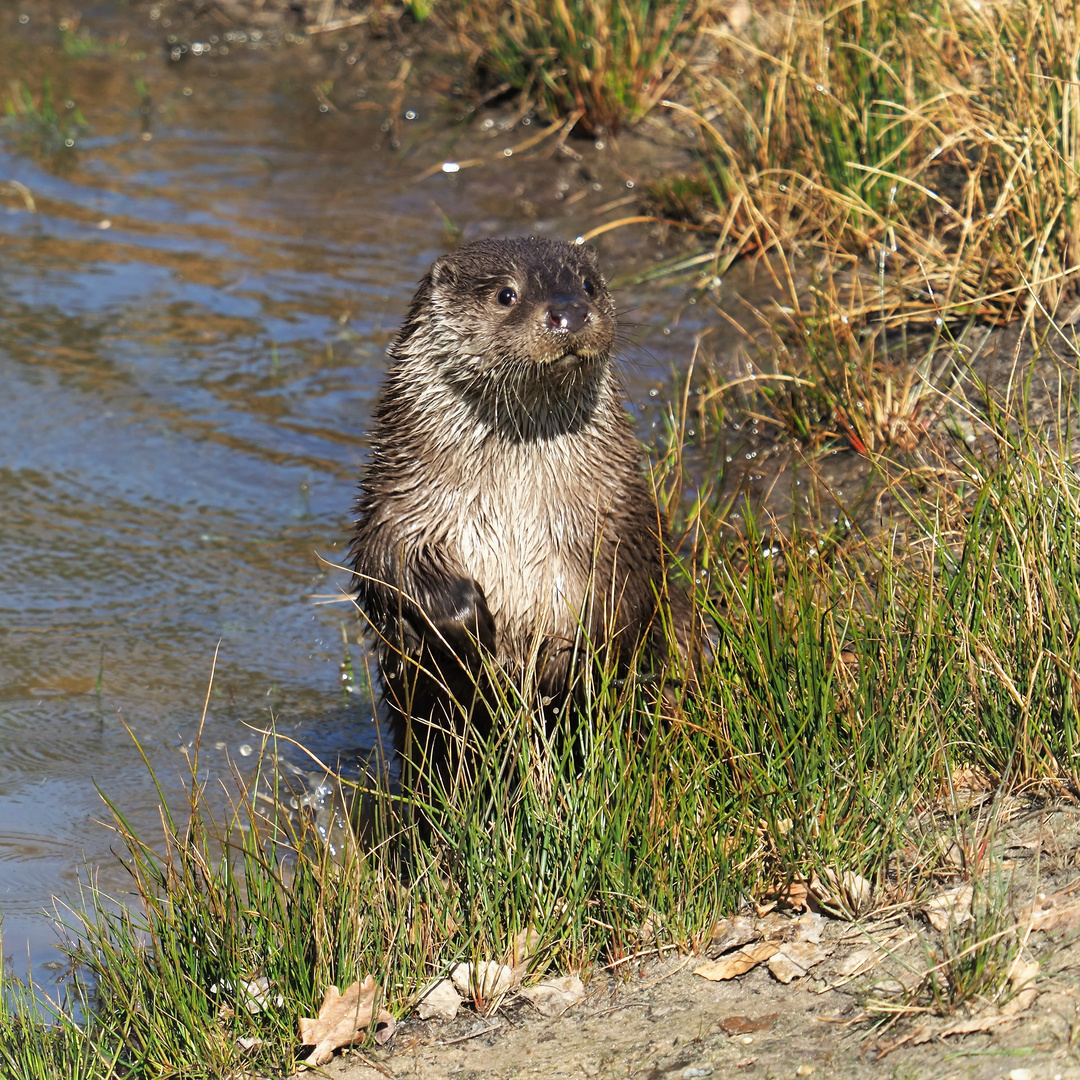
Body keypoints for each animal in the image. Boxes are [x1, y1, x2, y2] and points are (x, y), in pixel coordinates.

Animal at [349, 236, 695, 790]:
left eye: (588, 285)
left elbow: (628, 594)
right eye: (506, 294)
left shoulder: (622, 512)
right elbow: (388, 566)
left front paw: (573, 664)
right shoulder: (397, 506)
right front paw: (469, 633)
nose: (569, 313)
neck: (517, 516)